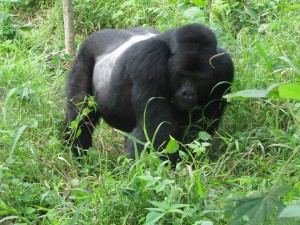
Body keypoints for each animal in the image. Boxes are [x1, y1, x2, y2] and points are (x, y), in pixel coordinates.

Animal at [65, 23, 234, 163]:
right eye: (183, 76)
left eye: (199, 79)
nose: (188, 94)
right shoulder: (150, 60)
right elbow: (154, 129)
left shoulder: (224, 68)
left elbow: (201, 128)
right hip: (85, 53)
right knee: (79, 115)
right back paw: (78, 154)